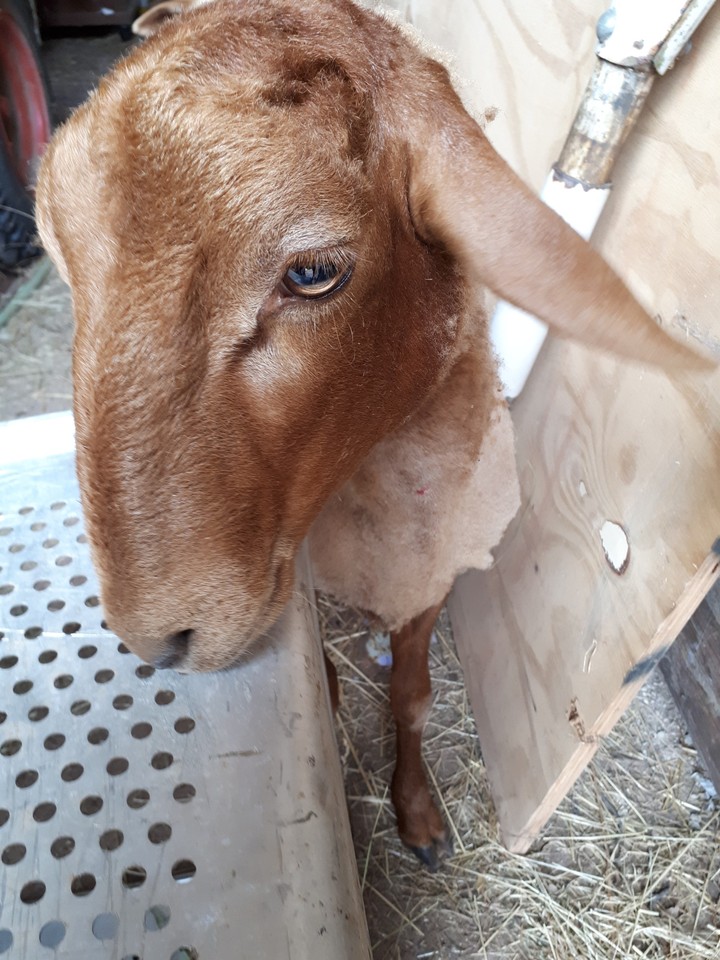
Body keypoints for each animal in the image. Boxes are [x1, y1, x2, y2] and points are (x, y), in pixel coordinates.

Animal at [36, 0, 709, 869]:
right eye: (59, 251)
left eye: (314, 272)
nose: (158, 642)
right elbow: (326, 678)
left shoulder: (434, 570)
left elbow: (413, 696)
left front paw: (418, 814)